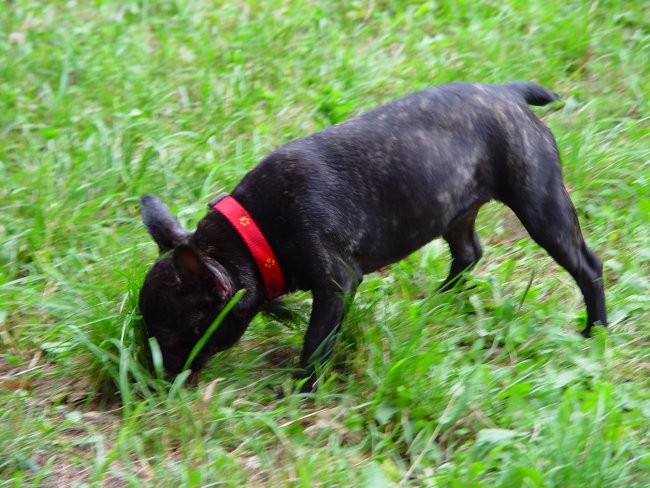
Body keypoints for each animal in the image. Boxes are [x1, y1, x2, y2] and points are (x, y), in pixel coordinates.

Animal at [139, 82, 604, 390]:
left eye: (170, 333)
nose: (155, 372)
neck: (254, 234)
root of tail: (506, 93)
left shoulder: (336, 285)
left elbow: (315, 343)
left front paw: (299, 388)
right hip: (454, 210)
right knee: (468, 252)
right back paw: (435, 302)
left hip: (539, 204)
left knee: (587, 266)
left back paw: (595, 332)